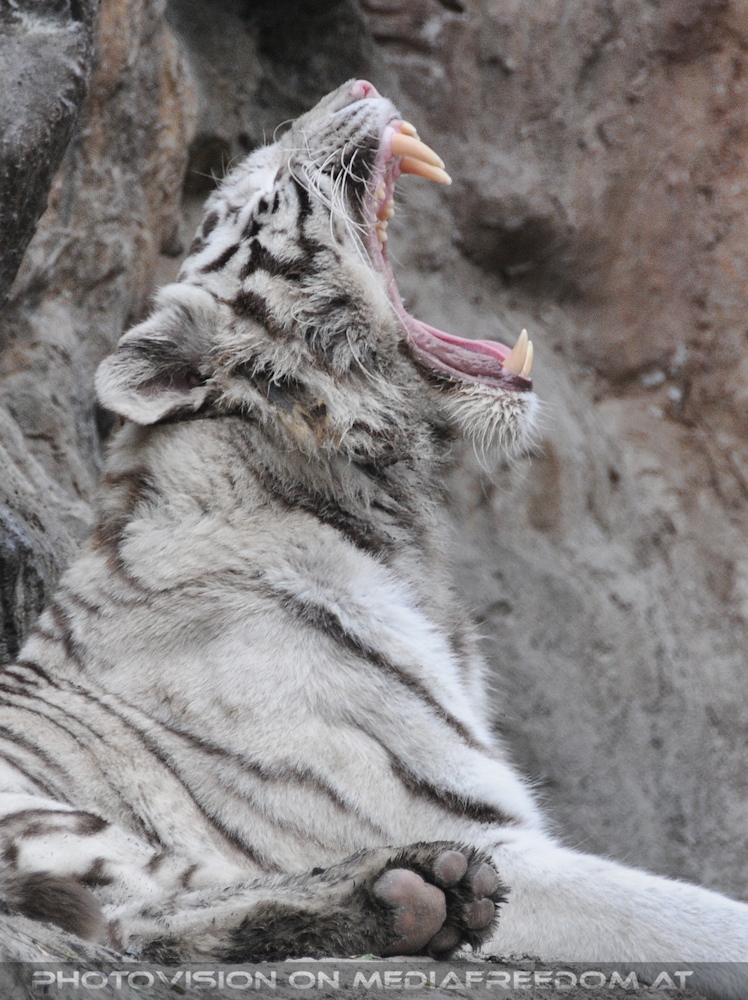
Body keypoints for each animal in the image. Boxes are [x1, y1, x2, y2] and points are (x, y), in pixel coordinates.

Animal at [0, 78, 746, 996]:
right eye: (252, 187)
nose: (354, 86)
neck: (387, 513)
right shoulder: (480, 829)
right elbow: (690, 913)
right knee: (136, 917)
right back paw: (412, 891)